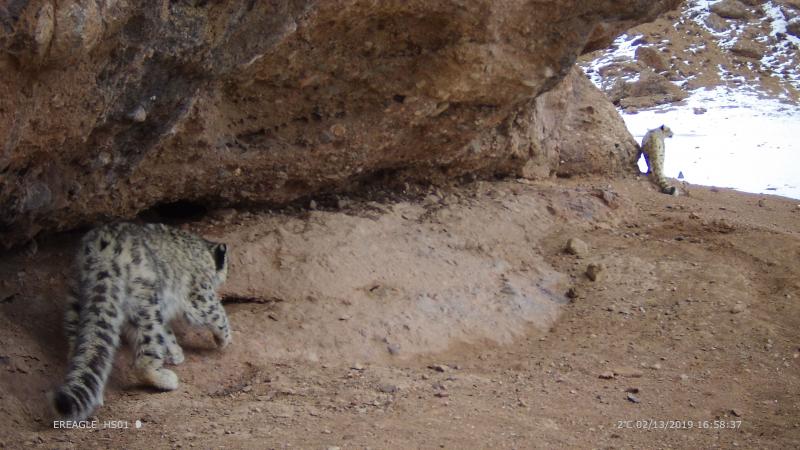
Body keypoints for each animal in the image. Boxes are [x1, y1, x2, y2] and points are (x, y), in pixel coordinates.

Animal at [50, 223, 231, 424]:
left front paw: (175, 353)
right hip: (144, 302)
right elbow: (217, 314)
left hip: (76, 299)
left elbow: (167, 332)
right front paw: (224, 340)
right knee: (144, 358)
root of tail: (103, 254)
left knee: (81, 345)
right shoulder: (200, 295)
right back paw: (165, 378)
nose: (227, 274)